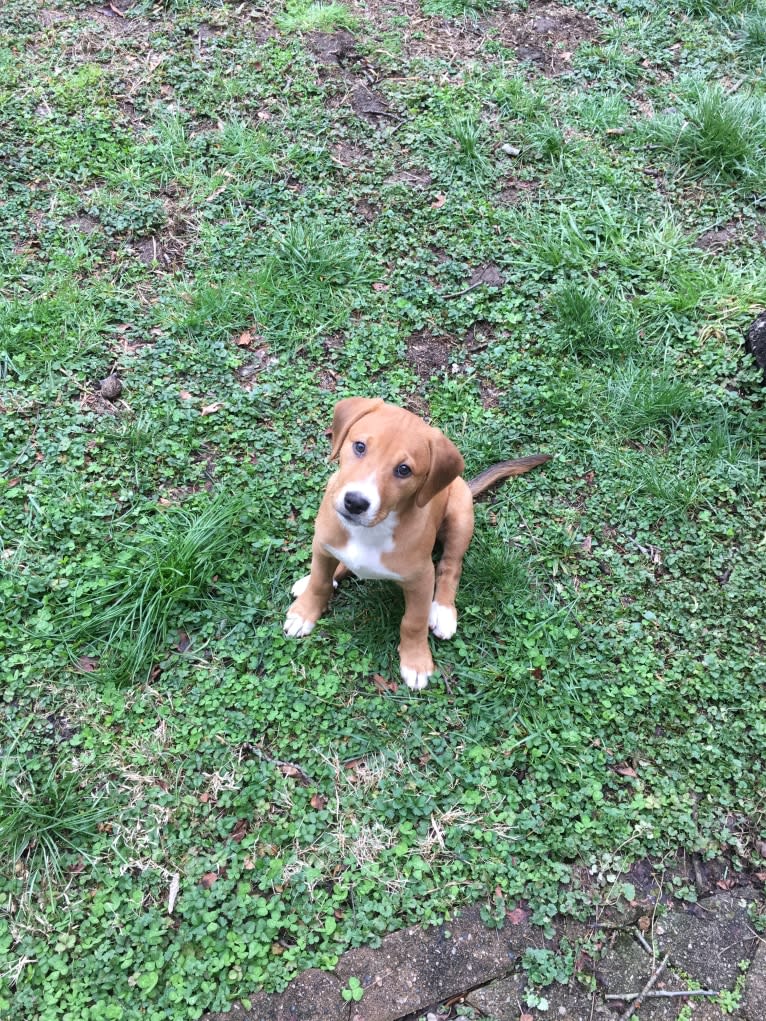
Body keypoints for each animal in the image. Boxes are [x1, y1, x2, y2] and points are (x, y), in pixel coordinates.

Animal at [285, 398, 547, 694]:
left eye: (404, 470)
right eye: (360, 446)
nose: (355, 503)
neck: (373, 528)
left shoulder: (421, 580)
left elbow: (413, 622)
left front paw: (416, 662)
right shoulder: (322, 545)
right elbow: (320, 582)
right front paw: (304, 613)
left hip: (460, 517)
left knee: (450, 566)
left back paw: (443, 612)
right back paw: (308, 582)